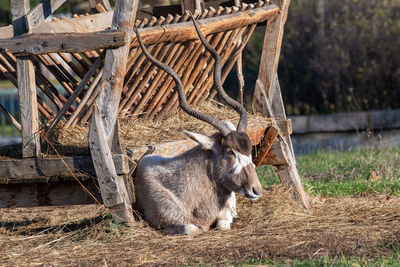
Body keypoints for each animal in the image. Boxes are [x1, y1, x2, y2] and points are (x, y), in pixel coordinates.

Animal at [134, 15, 262, 236]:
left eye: (248, 151)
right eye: (230, 151)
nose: (256, 190)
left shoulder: (224, 215)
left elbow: (223, 224)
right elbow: (192, 228)